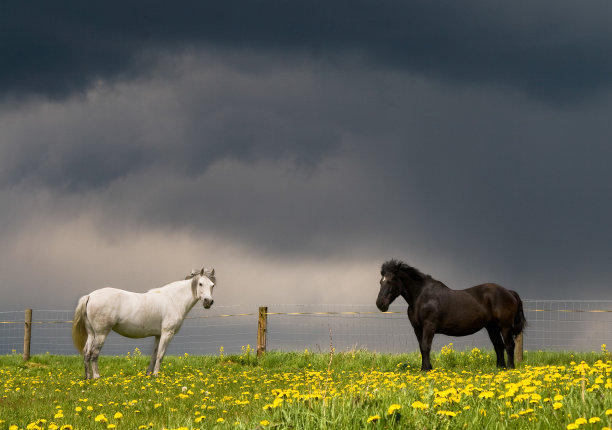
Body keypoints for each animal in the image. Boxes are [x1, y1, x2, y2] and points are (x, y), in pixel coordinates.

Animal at [72, 268, 216, 378]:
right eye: (200, 284)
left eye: (212, 285)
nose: (208, 301)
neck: (173, 299)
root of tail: (90, 296)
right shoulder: (167, 333)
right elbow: (160, 355)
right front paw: (156, 375)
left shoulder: (158, 335)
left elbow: (154, 355)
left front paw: (149, 375)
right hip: (101, 334)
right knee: (94, 354)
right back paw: (97, 377)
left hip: (92, 334)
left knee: (86, 353)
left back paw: (87, 377)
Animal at [372, 260, 524, 372]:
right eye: (380, 281)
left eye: (390, 281)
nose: (380, 304)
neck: (422, 297)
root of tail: (509, 292)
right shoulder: (417, 328)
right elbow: (421, 347)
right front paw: (425, 368)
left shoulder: (429, 327)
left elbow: (426, 347)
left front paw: (426, 369)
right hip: (491, 327)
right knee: (498, 346)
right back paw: (500, 368)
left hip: (504, 326)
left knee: (509, 345)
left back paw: (510, 368)